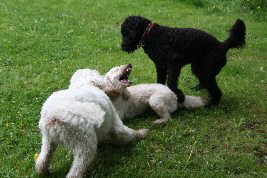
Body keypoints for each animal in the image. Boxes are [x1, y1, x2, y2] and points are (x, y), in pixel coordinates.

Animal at [69, 64, 205, 124]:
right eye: (116, 69)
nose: (129, 64)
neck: (116, 96)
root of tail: (175, 96)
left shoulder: (119, 115)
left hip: (155, 100)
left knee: (168, 117)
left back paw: (159, 121)